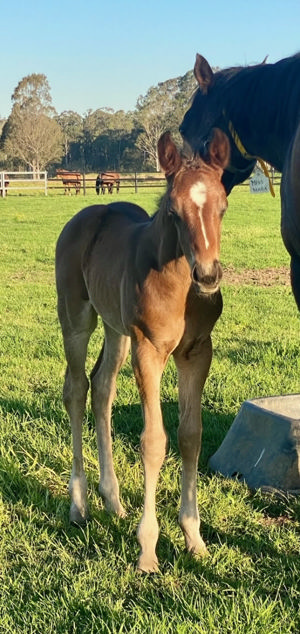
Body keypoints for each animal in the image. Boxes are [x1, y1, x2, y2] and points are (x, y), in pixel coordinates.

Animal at [55, 130, 230, 572]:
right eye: (174, 210)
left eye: (223, 206)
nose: (208, 275)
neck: (182, 289)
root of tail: (89, 213)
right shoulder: (149, 351)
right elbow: (154, 442)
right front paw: (148, 550)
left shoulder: (197, 353)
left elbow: (190, 435)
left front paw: (194, 538)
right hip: (76, 318)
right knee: (76, 390)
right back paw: (79, 504)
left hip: (117, 331)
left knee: (102, 389)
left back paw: (113, 500)